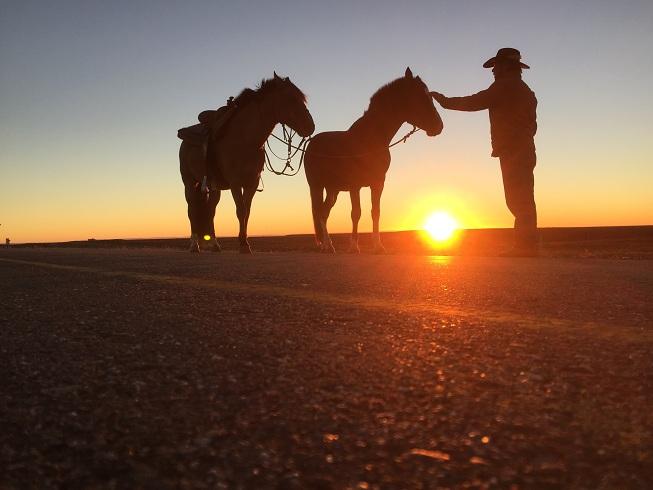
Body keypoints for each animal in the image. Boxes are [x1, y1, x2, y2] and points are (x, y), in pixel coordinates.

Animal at [177, 75, 312, 256]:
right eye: (290, 98)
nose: (310, 126)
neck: (246, 139)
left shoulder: (251, 183)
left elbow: (247, 212)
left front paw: (246, 242)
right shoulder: (235, 183)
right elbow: (240, 210)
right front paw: (242, 245)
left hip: (214, 187)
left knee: (211, 211)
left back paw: (215, 245)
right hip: (190, 182)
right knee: (192, 210)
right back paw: (194, 245)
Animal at [306, 67, 444, 253]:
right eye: (420, 97)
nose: (439, 126)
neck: (370, 140)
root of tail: (312, 143)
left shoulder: (378, 183)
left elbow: (375, 212)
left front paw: (378, 246)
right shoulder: (354, 185)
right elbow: (356, 213)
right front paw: (354, 247)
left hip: (333, 190)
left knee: (323, 212)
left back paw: (329, 245)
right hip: (316, 186)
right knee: (320, 212)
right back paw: (327, 245)